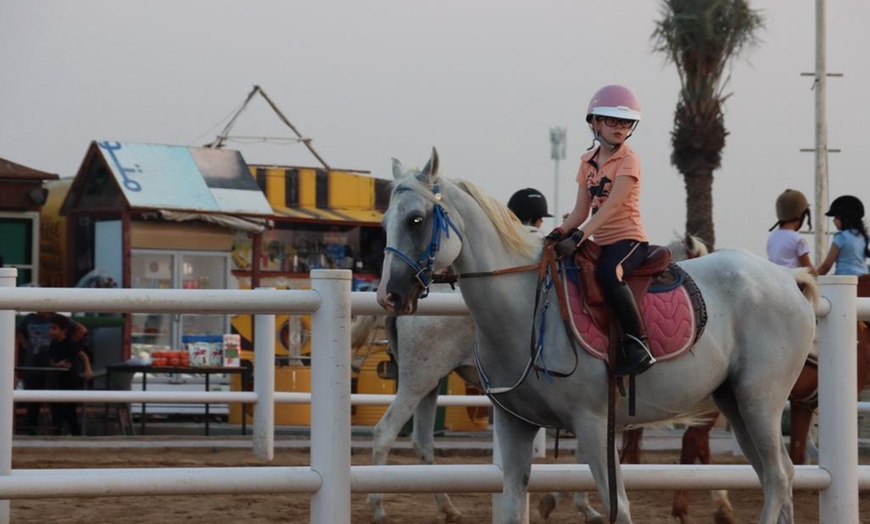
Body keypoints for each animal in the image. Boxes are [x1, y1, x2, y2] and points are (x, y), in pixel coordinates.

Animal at [378, 148, 820, 524]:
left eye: (415, 220)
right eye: (385, 223)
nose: (390, 295)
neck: (524, 306)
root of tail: (786, 279)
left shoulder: (593, 423)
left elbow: (618, 506)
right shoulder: (515, 424)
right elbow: (515, 504)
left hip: (759, 401)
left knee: (778, 477)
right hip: (736, 402)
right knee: (779, 474)